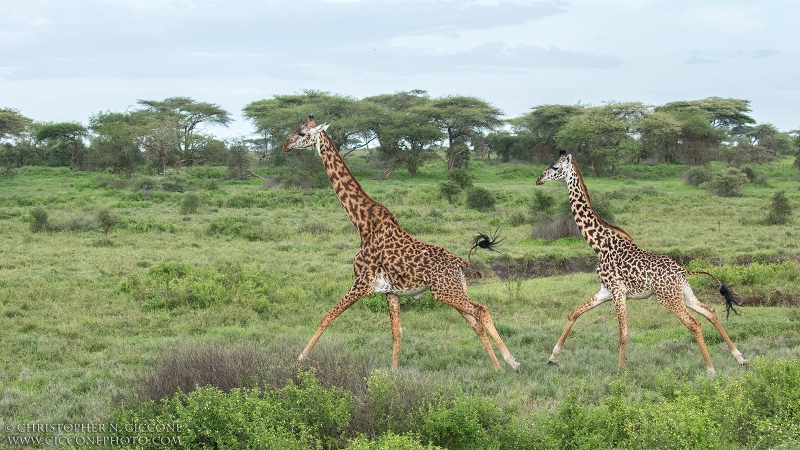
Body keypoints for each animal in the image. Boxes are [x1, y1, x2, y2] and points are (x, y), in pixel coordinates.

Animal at [280, 115, 520, 370]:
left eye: (303, 133)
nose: (285, 145)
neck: (362, 223)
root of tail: (460, 263)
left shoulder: (362, 283)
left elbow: (326, 316)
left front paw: (300, 358)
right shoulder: (390, 291)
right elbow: (397, 332)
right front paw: (394, 372)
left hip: (445, 291)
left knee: (481, 310)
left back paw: (512, 363)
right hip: (454, 289)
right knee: (475, 322)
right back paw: (497, 366)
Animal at [536, 151, 748, 372]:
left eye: (555, 167)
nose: (538, 179)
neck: (600, 245)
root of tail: (682, 270)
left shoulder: (618, 291)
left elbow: (623, 333)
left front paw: (620, 372)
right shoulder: (605, 291)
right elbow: (574, 313)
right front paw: (552, 357)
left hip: (668, 297)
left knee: (694, 323)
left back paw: (711, 369)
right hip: (683, 294)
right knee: (710, 312)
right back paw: (740, 358)